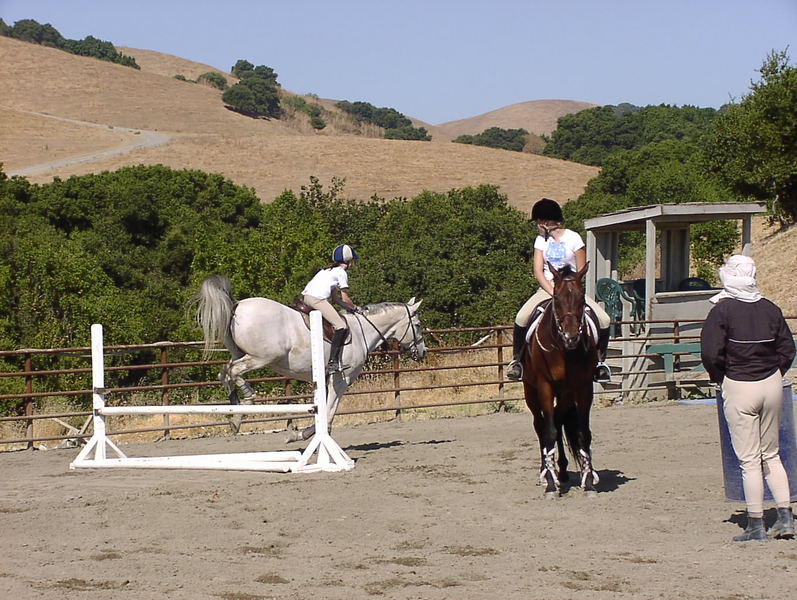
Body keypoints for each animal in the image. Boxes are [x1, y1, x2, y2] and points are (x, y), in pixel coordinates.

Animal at [193, 275, 427, 441]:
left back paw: (235, 413)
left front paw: (301, 434)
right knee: (232, 371)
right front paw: (301, 435)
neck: (362, 332)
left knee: (224, 372)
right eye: (417, 325)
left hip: (239, 353)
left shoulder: (324, 379)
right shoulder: (341, 380)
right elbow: (330, 412)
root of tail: (236, 304)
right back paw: (246, 401)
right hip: (262, 357)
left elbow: (324, 410)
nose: (422, 353)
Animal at [520, 262, 600, 498]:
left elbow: (582, 433)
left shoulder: (583, 388)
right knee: (541, 425)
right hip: (531, 391)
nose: (571, 337)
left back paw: (562, 472)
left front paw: (589, 482)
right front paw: (550, 485)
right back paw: (546, 473)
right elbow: (548, 432)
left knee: (558, 418)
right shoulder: (544, 386)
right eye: (556, 298)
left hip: (565, 394)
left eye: (582, 298)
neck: (563, 350)